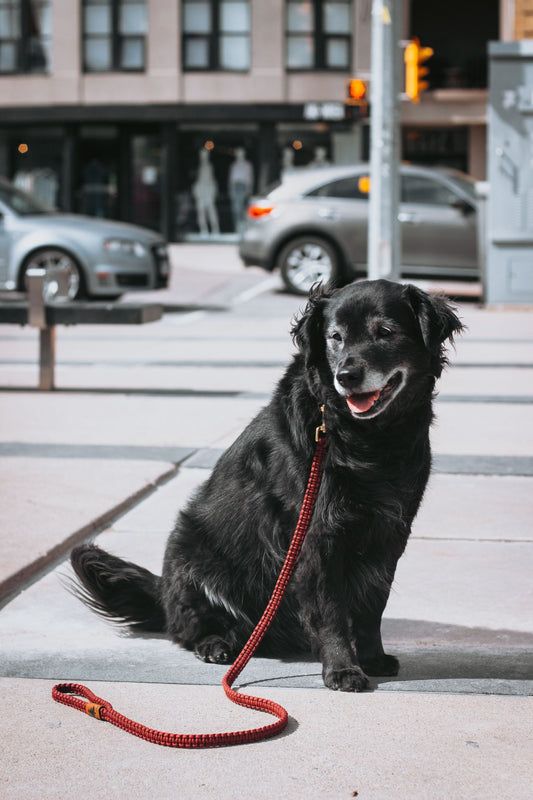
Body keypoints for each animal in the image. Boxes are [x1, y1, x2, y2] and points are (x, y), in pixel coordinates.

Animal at [71, 280, 462, 688]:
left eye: (384, 332)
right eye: (335, 337)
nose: (346, 376)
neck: (366, 439)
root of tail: (161, 590)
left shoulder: (390, 531)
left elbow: (373, 605)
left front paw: (372, 658)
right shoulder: (315, 534)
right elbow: (330, 610)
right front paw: (342, 668)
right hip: (190, 553)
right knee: (188, 628)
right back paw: (215, 643)